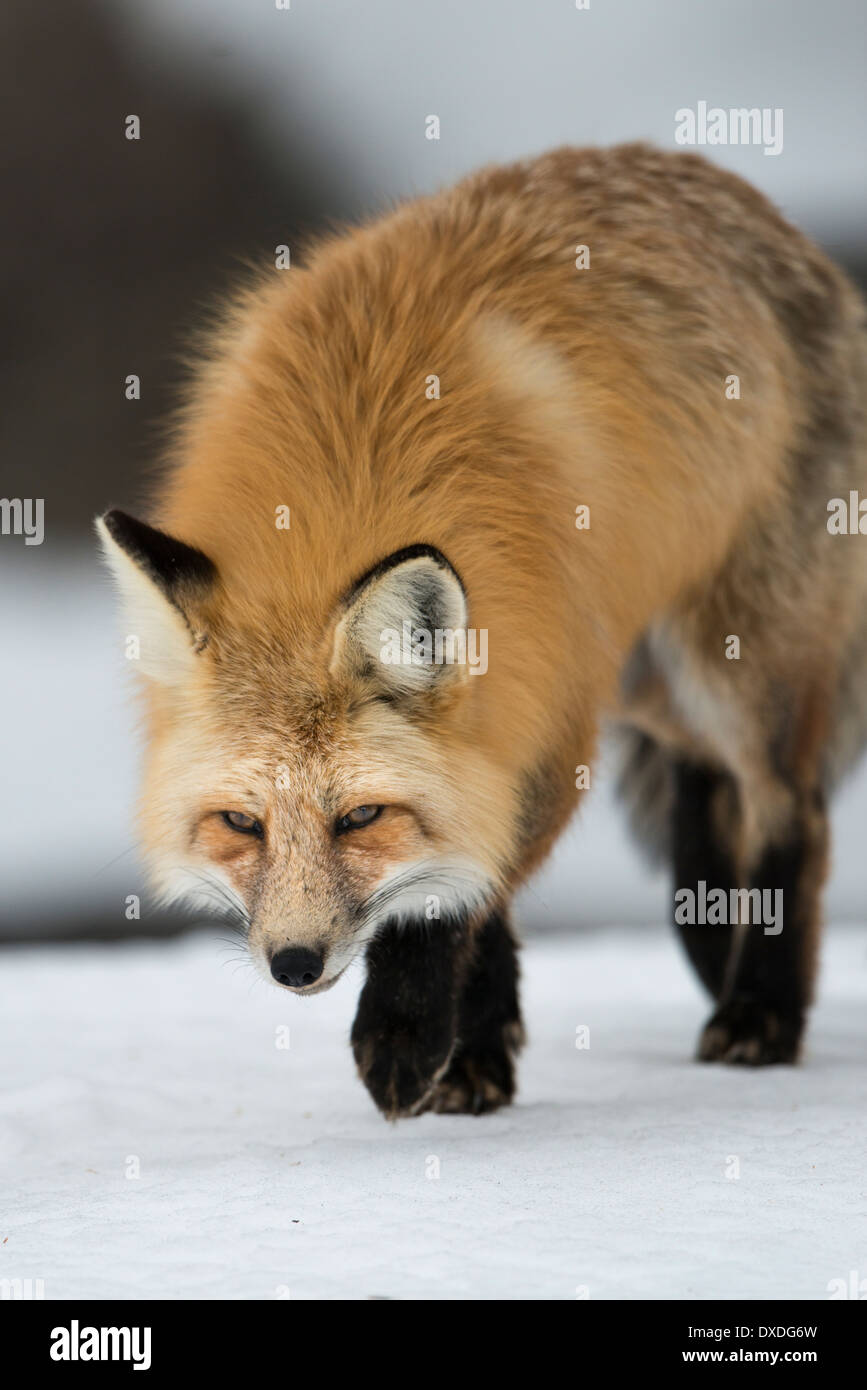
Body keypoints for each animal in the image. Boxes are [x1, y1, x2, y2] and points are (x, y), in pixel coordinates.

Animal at [97, 143, 867, 1119]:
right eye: (240, 822)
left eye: (362, 818)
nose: (294, 964)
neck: (344, 489)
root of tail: (751, 203)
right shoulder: (513, 716)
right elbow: (471, 881)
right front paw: (475, 1056)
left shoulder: (547, 719)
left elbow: (455, 886)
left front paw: (406, 1034)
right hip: (646, 681)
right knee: (703, 785)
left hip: (732, 668)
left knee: (787, 811)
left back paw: (760, 1013)